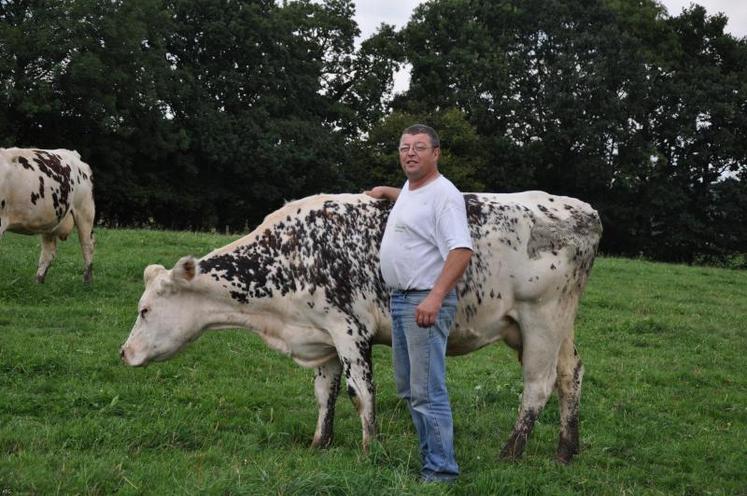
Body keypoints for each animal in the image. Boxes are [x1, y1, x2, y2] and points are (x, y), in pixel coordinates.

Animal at [0, 147, 96, 282]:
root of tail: (73, 154)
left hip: (85, 212)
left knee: (87, 245)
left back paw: (87, 280)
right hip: (50, 221)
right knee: (49, 252)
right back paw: (38, 281)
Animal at [122, 191, 600, 464]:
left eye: (144, 310)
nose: (124, 353)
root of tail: (580, 207)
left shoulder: (349, 328)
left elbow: (360, 392)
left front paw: (371, 450)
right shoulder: (322, 333)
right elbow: (325, 393)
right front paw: (320, 442)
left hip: (541, 316)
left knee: (538, 384)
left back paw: (511, 452)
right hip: (552, 323)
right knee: (570, 374)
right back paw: (566, 449)